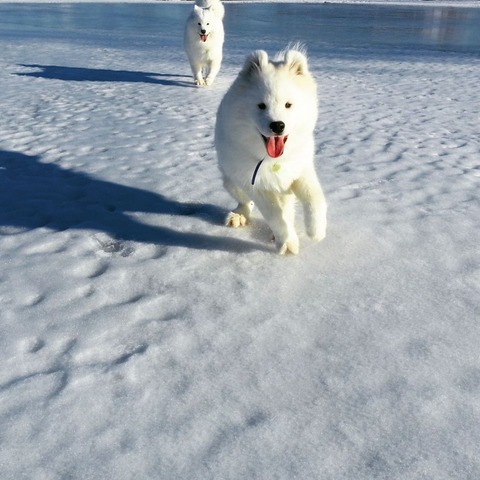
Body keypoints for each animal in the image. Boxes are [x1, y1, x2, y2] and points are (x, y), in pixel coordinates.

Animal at [216, 48, 328, 255]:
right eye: (261, 105)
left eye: (288, 105)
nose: (277, 125)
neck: (273, 160)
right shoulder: (254, 184)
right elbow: (275, 215)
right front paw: (288, 243)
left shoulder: (301, 169)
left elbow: (315, 198)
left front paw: (316, 231)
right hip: (231, 182)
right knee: (246, 202)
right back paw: (238, 216)